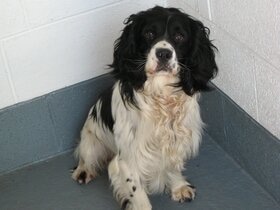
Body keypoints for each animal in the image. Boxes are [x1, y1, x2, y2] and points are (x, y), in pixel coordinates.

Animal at [72, 5, 217, 209]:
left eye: (180, 36)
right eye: (149, 33)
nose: (163, 53)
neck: (162, 94)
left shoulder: (176, 139)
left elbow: (172, 165)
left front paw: (179, 187)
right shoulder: (128, 159)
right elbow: (137, 192)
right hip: (91, 140)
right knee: (85, 156)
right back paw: (83, 171)